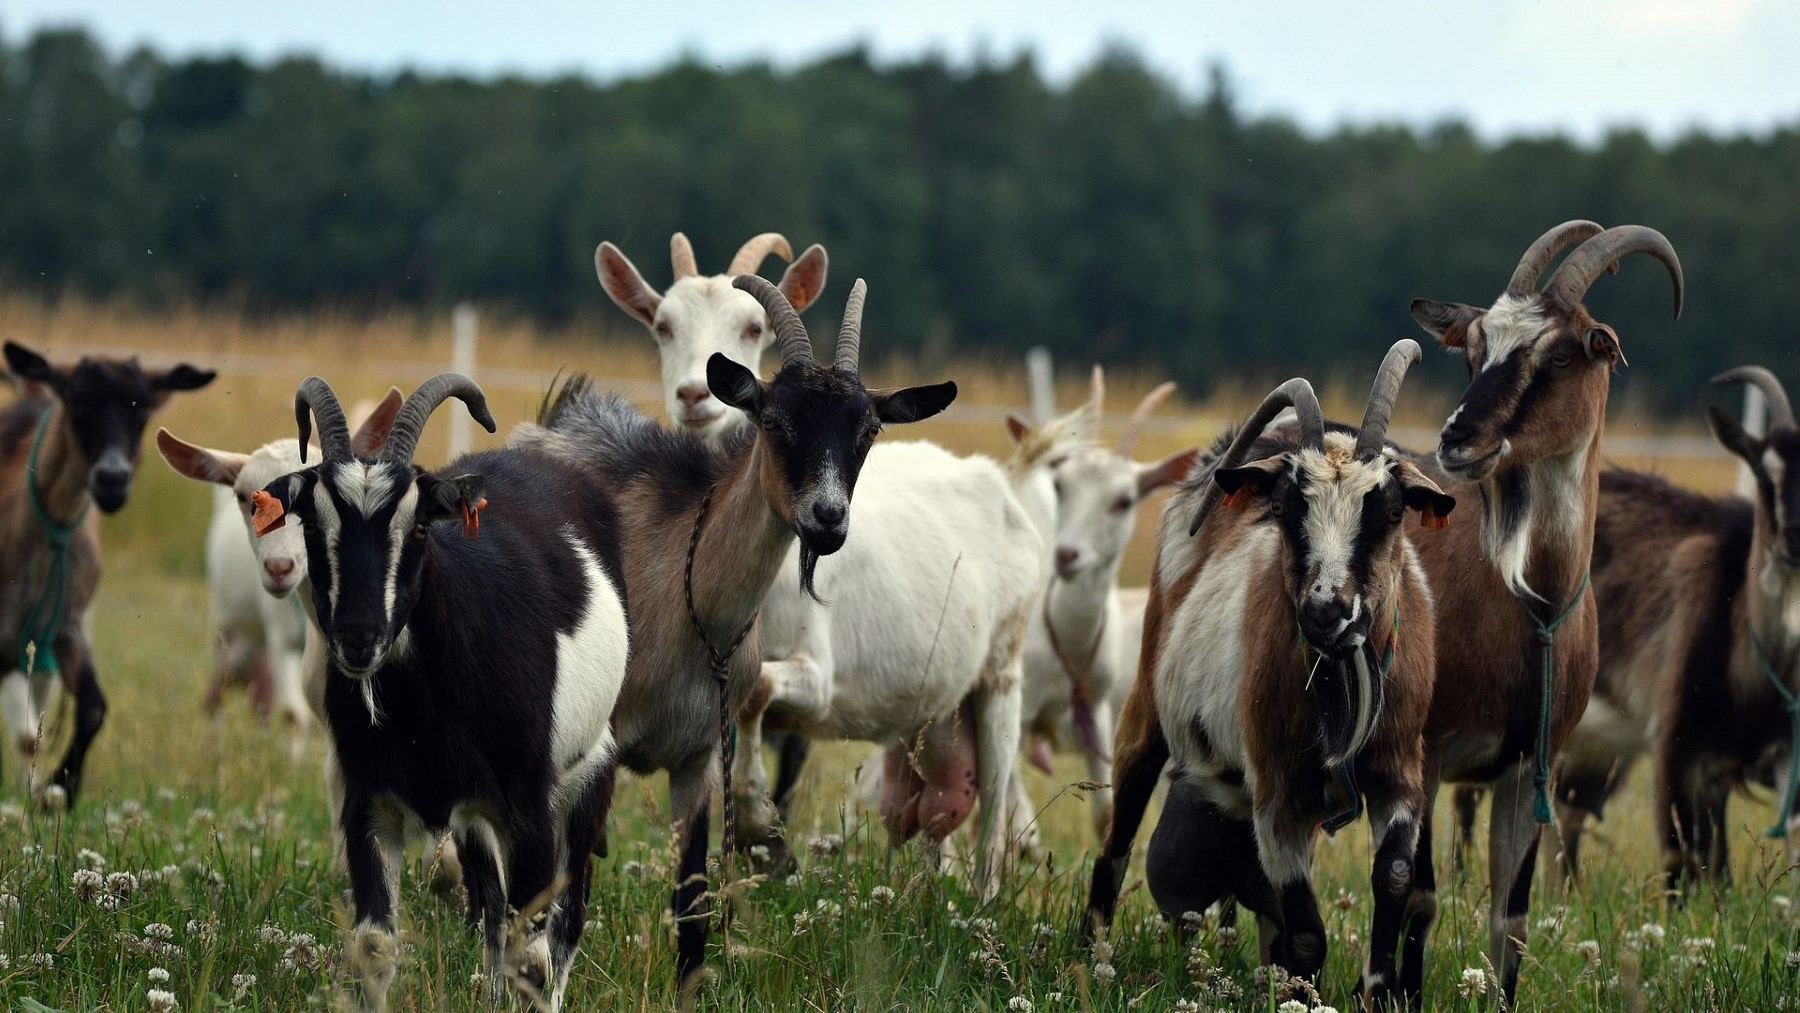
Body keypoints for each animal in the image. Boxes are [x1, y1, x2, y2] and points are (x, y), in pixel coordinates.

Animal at [0, 341, 215, 803]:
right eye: (78, 403)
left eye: (141, 411)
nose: (113, 479)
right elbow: (25, 732)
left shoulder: (67, 626)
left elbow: (93, 708)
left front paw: (57, 791)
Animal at [252, 374, 628, 1013]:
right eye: (312, 526)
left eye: (420, 527)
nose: (359, 638)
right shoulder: (371, 802)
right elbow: (376, 944)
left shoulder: (528, 809)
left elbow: (534, 953)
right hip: (475, 819)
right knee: (494, 915)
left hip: (588, 771)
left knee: (564, 920)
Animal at [514, 274, 956, 993]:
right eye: (774, 421)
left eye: (867, 430)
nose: (828, 518)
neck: (693, 607)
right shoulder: (600, 748)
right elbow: (568, 903)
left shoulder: (698, 757)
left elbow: (693, 905)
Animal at [1090, 343, 1452, 1003]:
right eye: (1285, 508)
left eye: (1390, 512)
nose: (1327, 611)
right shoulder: (1278, 794)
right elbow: (1307, 935)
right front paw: (1303, 996)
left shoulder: (1399, 770)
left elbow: (1392, 876)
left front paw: (1377, 989)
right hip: (1146, 708)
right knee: (1118, 842)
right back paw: (1090, 956)